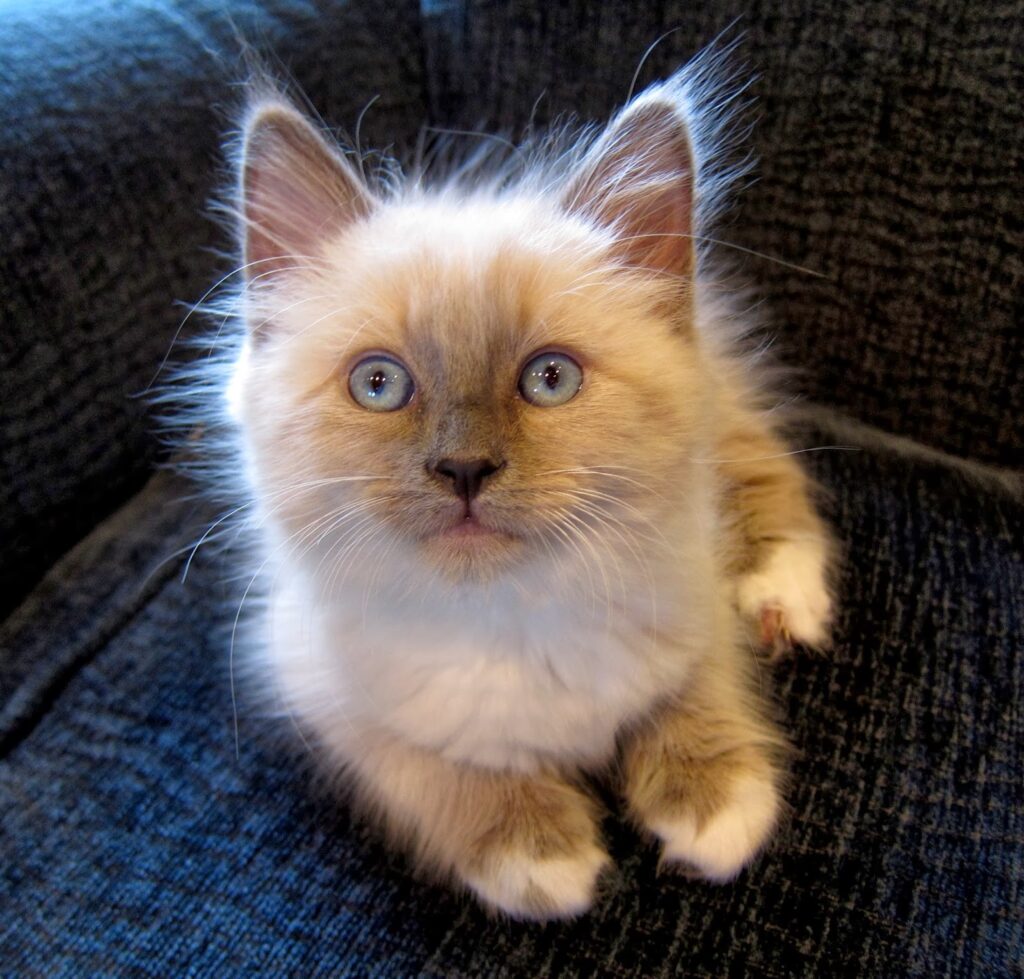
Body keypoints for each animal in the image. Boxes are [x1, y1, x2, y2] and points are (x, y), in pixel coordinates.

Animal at [205, 49, 831, 921]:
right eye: (378, 385)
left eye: (549, 379)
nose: (464, 468)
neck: (513, 616)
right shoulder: (319, 682)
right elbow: (433, 768)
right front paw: (539, 851)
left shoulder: (690, 591)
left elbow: (699, 682)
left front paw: (715, 803)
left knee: (765, 467)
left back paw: (782, 597)